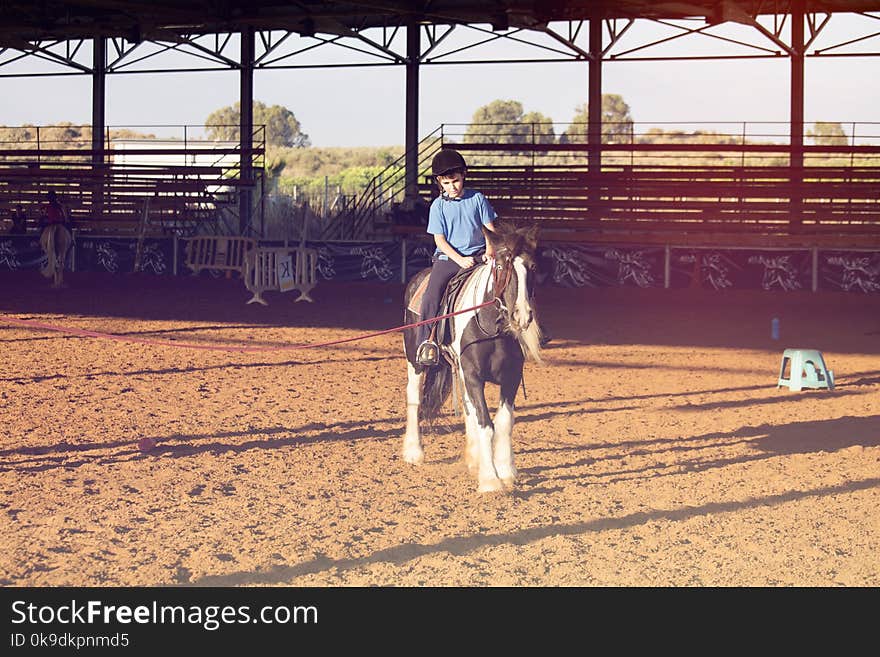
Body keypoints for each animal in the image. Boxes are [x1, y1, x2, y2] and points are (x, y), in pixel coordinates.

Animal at [404, 222, 544, 492]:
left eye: (532, 267)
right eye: (499, 267)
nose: (521, 315)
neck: (492, 327)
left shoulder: (510, 377)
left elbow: (503, 422)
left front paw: (506, 471)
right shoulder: (473, 376)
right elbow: (485, 423)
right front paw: (490, 480)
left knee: (468, 408)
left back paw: (473, 458)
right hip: (415, 359)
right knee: (414, 397)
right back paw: (413, 451)